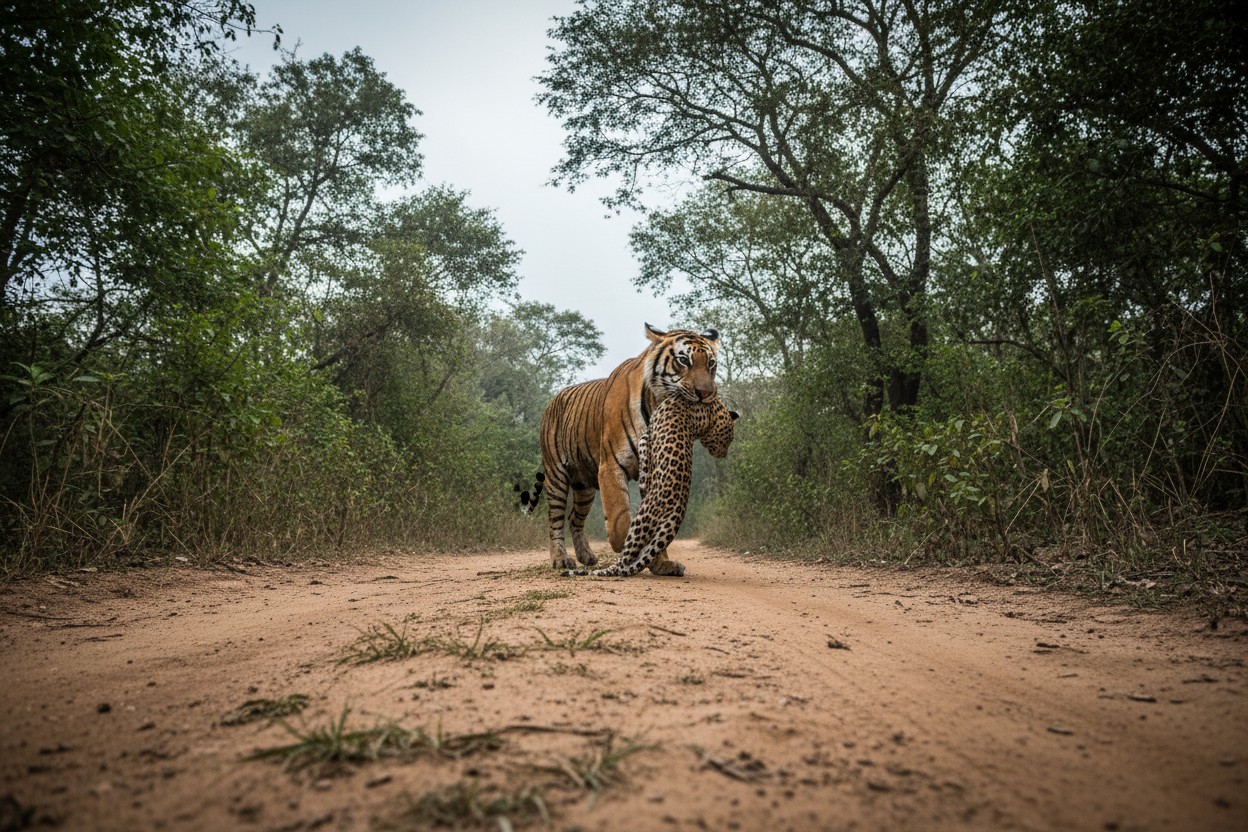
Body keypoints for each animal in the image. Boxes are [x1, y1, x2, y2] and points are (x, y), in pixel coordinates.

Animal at [538, 323, 720, 572]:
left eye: (711, 363)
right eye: (683, 360)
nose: (707, 393)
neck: (657, 404)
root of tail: (554, 399)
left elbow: (652, 521)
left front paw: (661, 564)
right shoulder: (611, 465)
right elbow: (620, 516)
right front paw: (626, 549)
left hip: (584, 485)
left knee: (574, 518)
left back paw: (586, 556)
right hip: (556, 474)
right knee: (555, 519)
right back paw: (560, 559)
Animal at [562, 395, 738, 577]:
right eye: (728, 439)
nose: (723, 455)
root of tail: (677, 514)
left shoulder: (645, 437)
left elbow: (644, 453)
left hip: (640, 522)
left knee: (624, 561)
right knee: (641, 557)